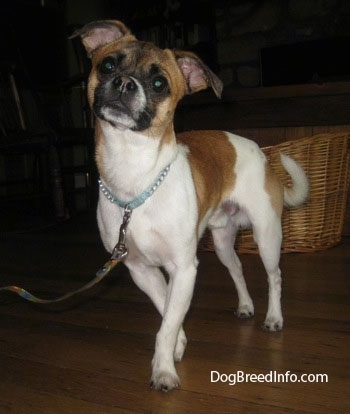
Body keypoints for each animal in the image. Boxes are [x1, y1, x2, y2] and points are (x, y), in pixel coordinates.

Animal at [72, 20, 308, 392]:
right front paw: (178, 345)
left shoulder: (184, 268)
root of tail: (262, 154)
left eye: (159, 84)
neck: (135, 181)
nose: (123, 82)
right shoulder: (142, 270)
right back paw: (245, 306)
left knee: (275, 276)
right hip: (223, 244)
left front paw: (164, 370)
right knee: (238, 270)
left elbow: (167, 322)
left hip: (267, 237)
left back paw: (273, 317)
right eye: (107, 65)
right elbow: (167, 310)